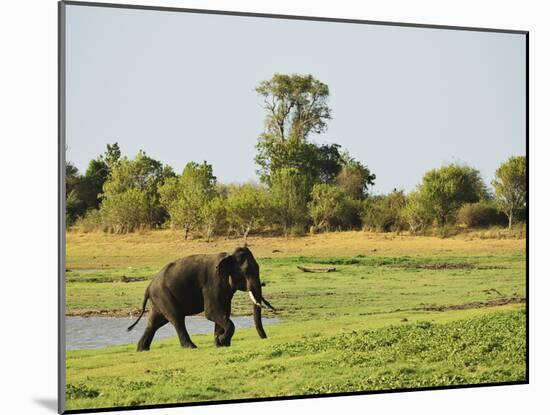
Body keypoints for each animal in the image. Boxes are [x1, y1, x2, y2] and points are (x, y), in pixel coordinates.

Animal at [128, 247, 276, 352]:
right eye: (247, 272)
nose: (265, 338)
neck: (229, 256)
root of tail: (148, 287)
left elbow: (224, 312)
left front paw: (221, 344)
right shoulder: (212, 283)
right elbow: (212, 312)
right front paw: (222, 341)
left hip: (159, 299)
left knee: (155, 322)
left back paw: (142, 349)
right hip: (163, 295)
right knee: (177, 319)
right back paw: (191, 347)